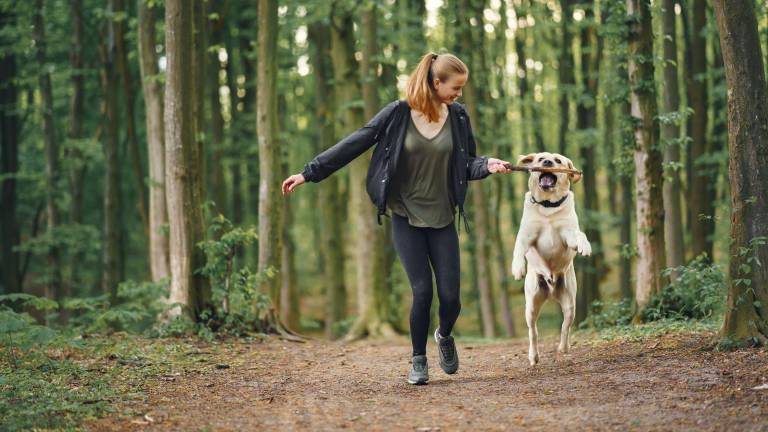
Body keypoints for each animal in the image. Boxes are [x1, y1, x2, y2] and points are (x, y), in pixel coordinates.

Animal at [510, 152, 591, 366]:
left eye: (558, 160)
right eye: (540, 159)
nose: (547, 162)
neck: (548, 207)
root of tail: (552, 290)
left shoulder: (568, 234)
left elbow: (580, 235)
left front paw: (585, 246)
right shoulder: (526, 235)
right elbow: (518, 248)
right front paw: (517, 268)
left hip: (570, 303)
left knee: (565, 326)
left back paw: (563, 347)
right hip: (531, 305)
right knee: (533, 332)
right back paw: (533, 356)